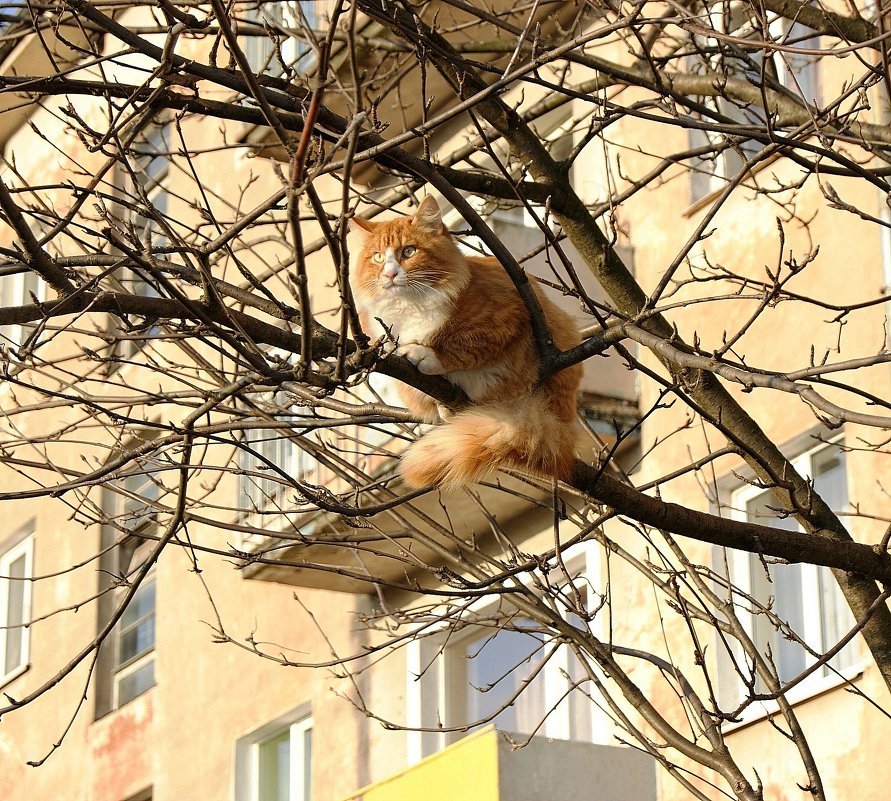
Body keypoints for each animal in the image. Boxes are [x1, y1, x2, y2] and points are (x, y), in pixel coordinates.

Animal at [352, 197, 580, 490]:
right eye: (378, 257)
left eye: (408, 252)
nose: (390, 274)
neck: (411, 305)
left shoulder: (503, 321)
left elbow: (463, 349)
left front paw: (427, 355)